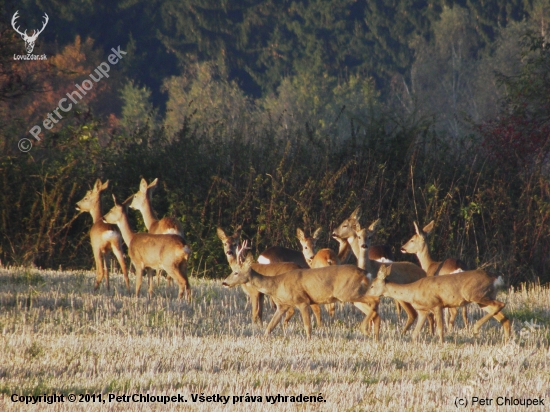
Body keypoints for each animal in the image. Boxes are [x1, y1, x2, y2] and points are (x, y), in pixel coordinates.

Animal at [222, 240, 382, 340]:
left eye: (236, 272)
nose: (224, 282)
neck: (276, 284)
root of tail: (364, 273)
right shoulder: (282, 305)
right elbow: (270, 326)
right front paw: (263, 338)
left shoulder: (302, 301)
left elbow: (307, 327)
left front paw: (309, 340)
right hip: (353, 295)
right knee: (373, 309)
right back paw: (374, 335)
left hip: (347, 292)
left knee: (375, 300)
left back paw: (365, 329)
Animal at [366, 266, 512, 342]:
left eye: (372, 285)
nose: (365, 294)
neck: (413, 291)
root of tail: (496, 278)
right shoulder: (423, 311)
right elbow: (415, 333)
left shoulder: (437, 304)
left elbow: (440, 329)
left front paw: (441, 343)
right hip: (484, 298)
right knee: (504, 317)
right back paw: (507, 340)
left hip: (474, 294)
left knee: (501, 304)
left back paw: (476, 329)